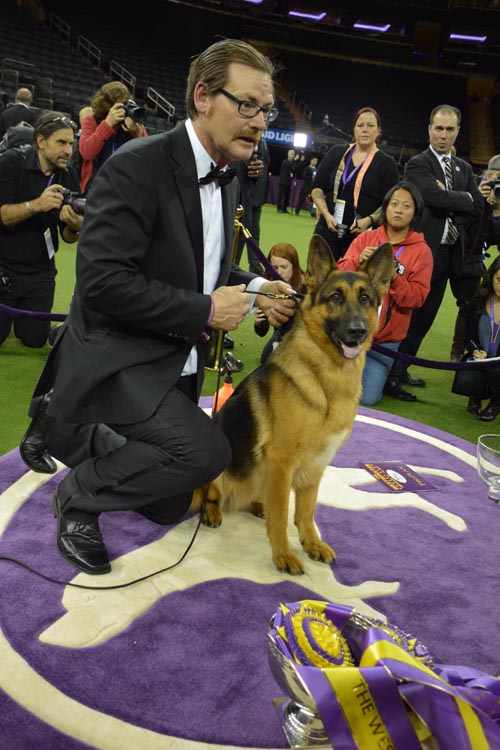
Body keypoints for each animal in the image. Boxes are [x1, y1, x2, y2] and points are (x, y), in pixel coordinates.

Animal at [191, 235, 394, 576]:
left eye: (366, 298)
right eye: (336, 297)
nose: (357, 331)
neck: (326, 377)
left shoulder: (316, 465)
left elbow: (305, 513)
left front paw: (311, 544)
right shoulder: (282, 461)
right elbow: (282, 516)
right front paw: (283, 555)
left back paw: (256, 505)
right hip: (223, 472)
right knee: (213, 497)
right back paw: (213, 511)